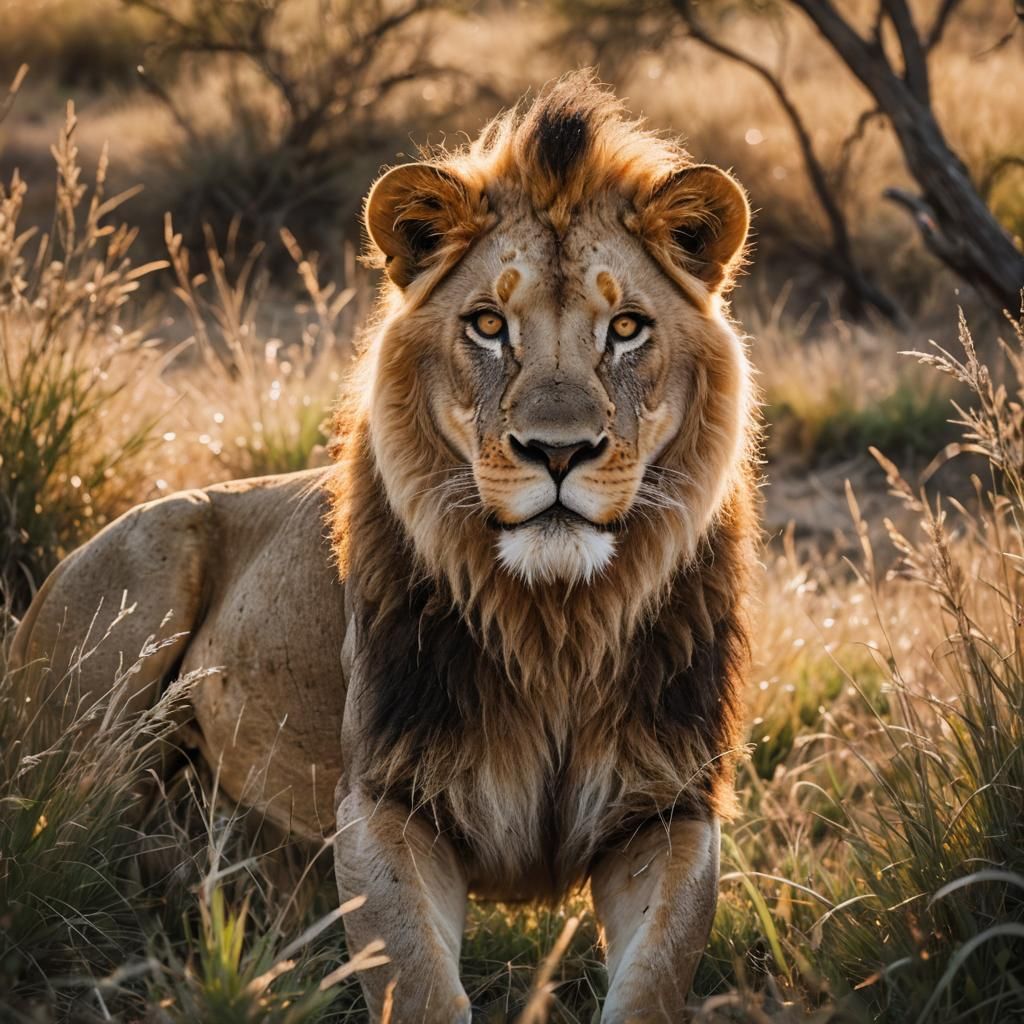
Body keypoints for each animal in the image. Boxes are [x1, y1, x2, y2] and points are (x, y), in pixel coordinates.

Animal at [12, 72, 758, 1021]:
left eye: (626, 328)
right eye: (488, 324)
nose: (557, 452)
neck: (554, 626)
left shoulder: (670, 810)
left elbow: (655, 980)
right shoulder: (383, 804)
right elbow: (420, 986)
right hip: (115, 672)